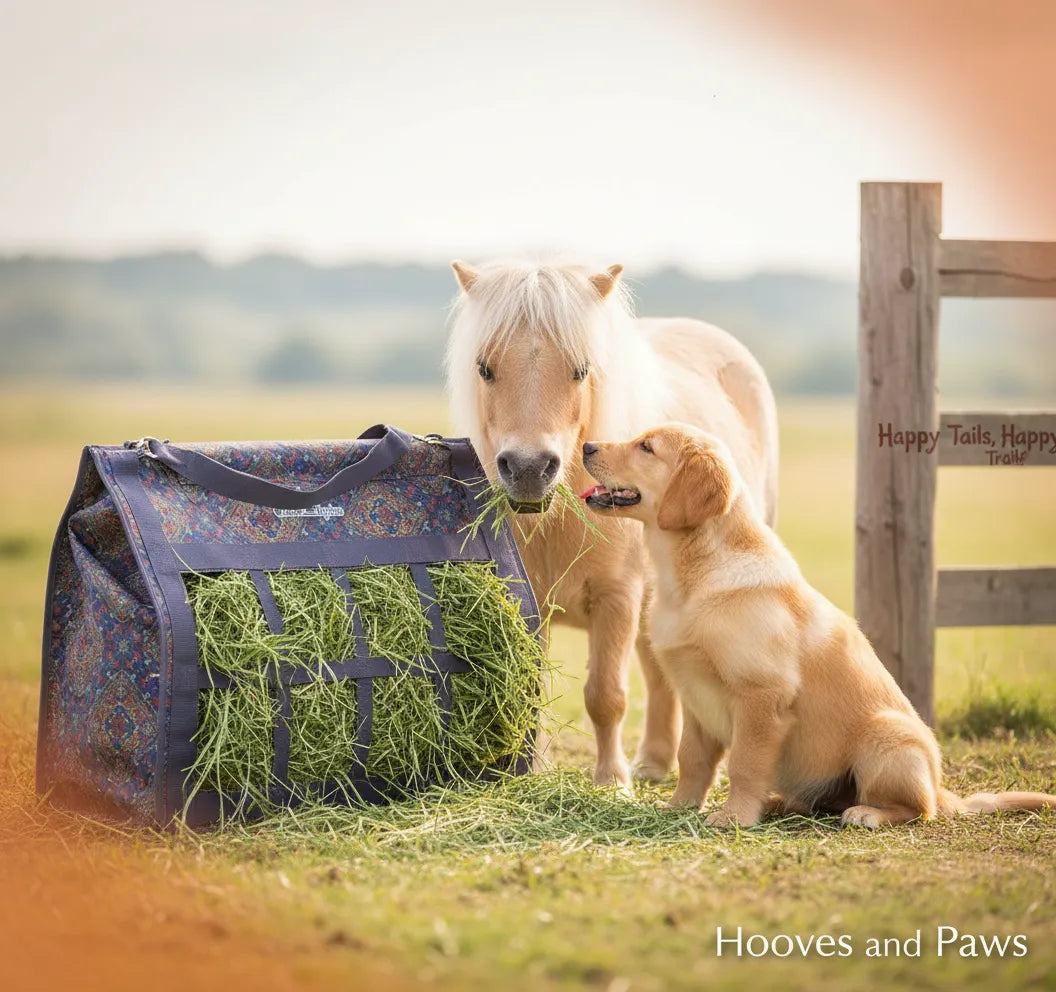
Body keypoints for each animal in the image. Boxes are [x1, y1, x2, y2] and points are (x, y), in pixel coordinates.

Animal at [444, 259, 779, 788]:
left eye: (581, 370)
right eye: (485, 368)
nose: (528, 469)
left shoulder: (616, 596)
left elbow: (606, 696)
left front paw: (611, 784)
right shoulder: (532, 603)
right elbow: (533, 690)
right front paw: (535, 772)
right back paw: (655, 764)